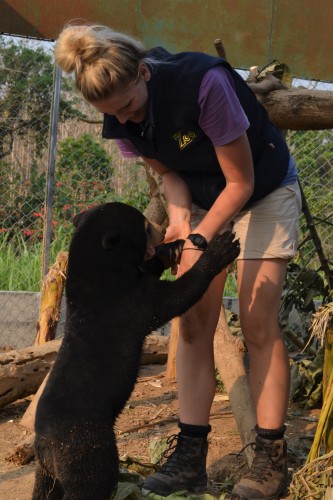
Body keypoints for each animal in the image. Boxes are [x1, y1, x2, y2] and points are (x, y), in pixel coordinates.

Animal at [31, 201, 239, 498]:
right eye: (145, 225)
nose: (163, 230)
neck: (101, 268)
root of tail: (45, 445)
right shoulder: (130, 301)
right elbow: (175, 297)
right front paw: (222, 248)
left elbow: (150, 268)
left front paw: (173, 248)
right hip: (86, 449)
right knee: (92, 482)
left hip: (48, 473)